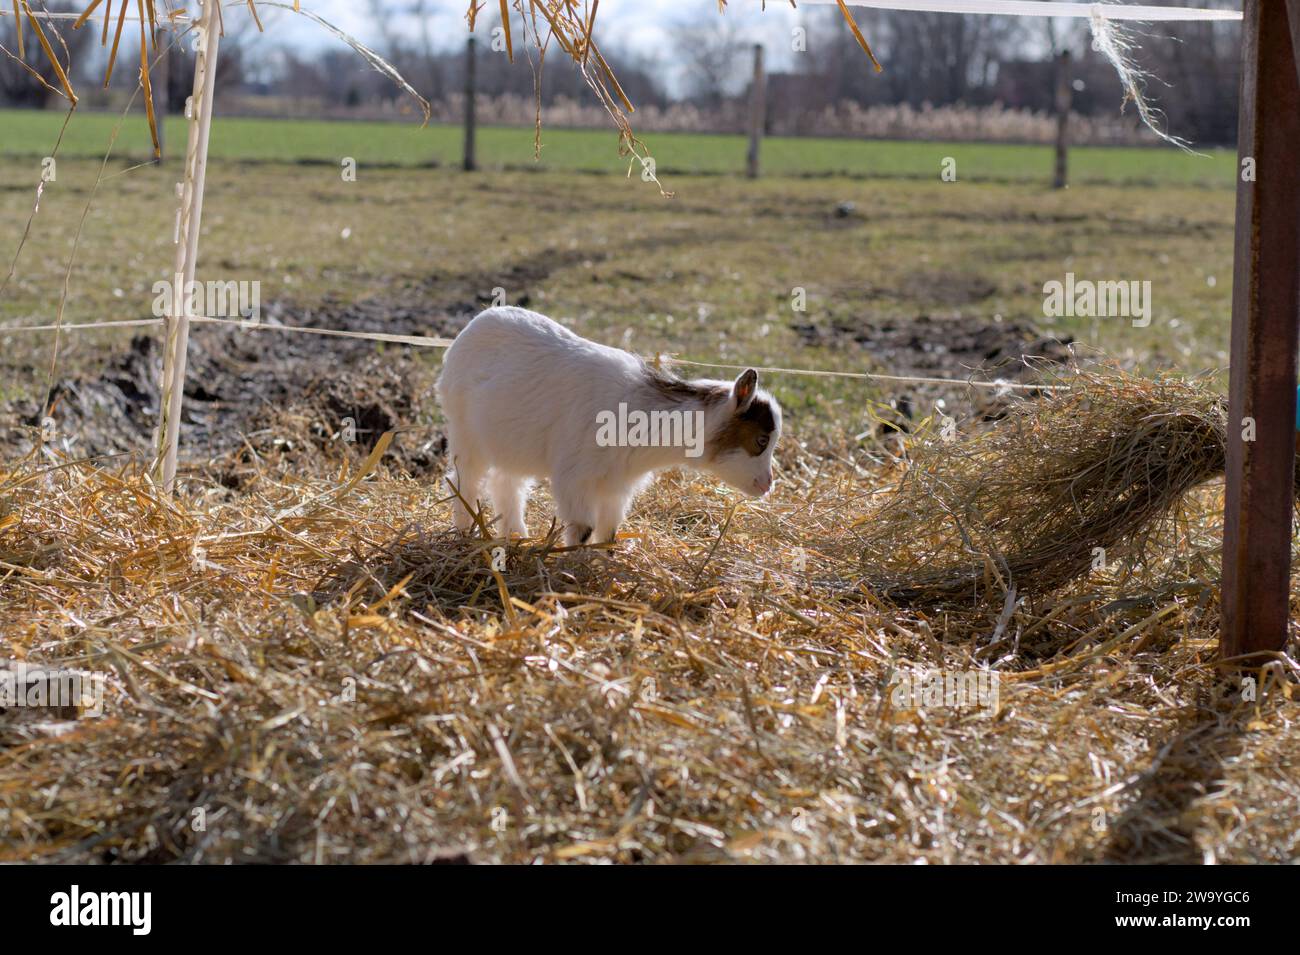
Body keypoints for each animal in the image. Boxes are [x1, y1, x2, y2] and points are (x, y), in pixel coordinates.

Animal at [436, 306, 780, 545]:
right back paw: (464, 533)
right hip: (464, 431)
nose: (767, 485)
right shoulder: (575, 479)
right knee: (464, 480)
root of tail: (478, 322)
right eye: (761, 440)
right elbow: (583, 529)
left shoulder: (616, 485)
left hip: (509, 439)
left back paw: (516, 535)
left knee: (506, 482)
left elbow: (608, 530)